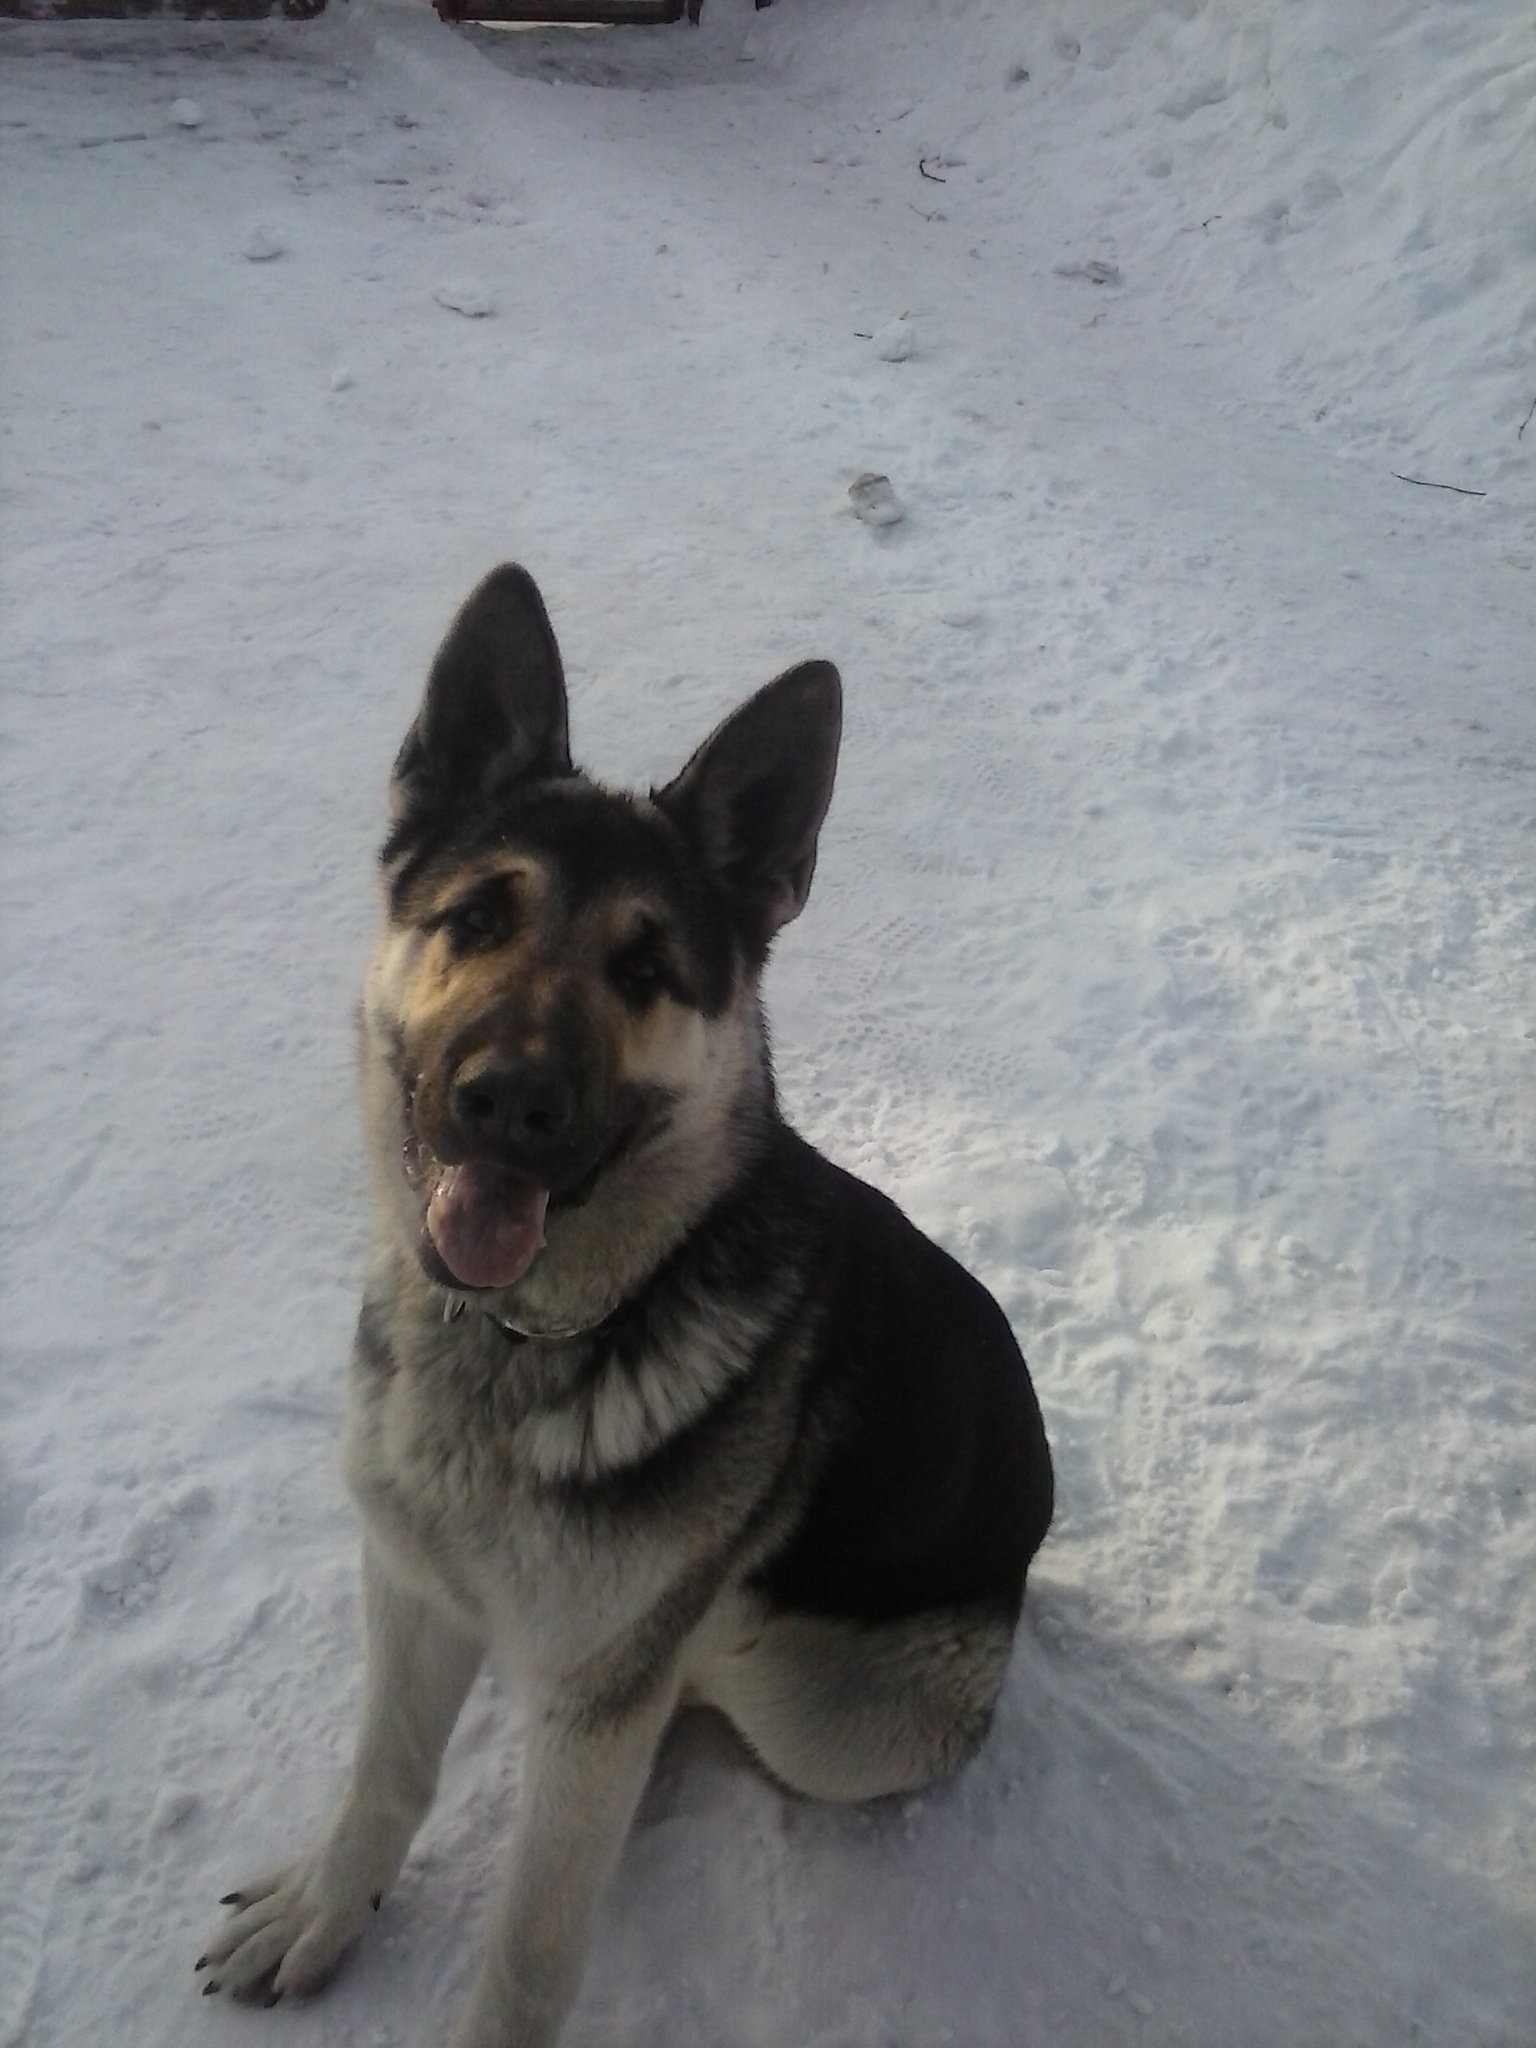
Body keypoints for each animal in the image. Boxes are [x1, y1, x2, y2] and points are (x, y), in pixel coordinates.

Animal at [198, 565, 1056, 2048]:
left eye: (647, 973)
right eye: (478, 920)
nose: (510, 1103)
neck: (516, 1345)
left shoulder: (594, 1702)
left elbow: (530, 1950)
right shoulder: (408, 1580)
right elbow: (384, 1776)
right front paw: (326, 1907)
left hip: (818, 1709)